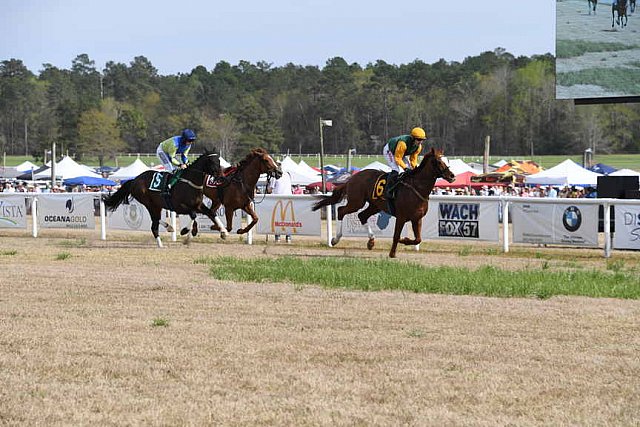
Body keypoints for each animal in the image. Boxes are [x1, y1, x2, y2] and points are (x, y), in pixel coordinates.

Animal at [312, 147, 456, 260]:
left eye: (448, 160)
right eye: (439, 161)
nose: (452, 176)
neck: (416, 188)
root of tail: (352, 177)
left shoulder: (417, 218)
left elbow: (418, 239)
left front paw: (405, 240)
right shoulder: (401, 217)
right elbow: (396, 236)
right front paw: (392, 253)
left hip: (375, 206)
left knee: (362, 216)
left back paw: (371, 241)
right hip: (356, 202)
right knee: (341, 210)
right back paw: (335, 239)